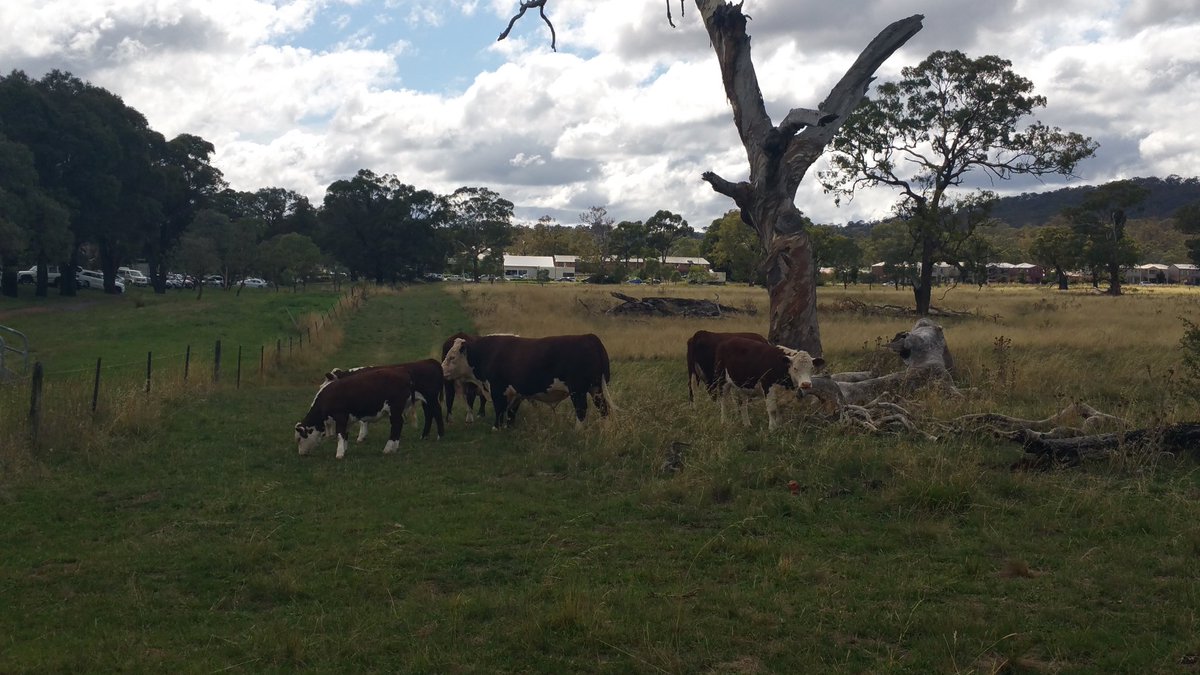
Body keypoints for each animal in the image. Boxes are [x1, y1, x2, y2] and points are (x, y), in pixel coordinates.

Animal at [441, 333, 615, 429]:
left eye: (452, 357)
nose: (441, 370)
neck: (486, 353)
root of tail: (590, 337)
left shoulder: (497, 389)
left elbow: (499, 409)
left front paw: (496, 428)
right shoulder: (516, 393)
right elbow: (510, 411)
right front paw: (509, 427)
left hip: (578, 391)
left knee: (581, 410)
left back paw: (578, 431)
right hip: (596, 389)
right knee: (603, 409)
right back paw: (605, 428)